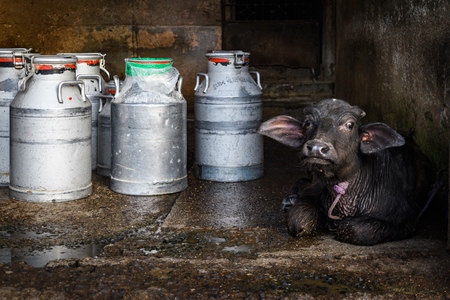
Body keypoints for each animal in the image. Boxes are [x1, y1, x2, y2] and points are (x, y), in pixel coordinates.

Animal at [258, 98, 434, 246]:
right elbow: (297, 219)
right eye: (308, 123)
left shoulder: (408, 219)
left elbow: (352, 229)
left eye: (350, 125)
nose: (316, 148)